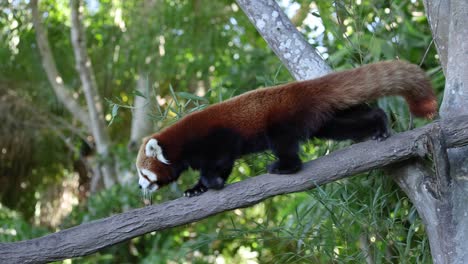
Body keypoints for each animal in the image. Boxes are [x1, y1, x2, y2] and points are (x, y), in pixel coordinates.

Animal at [135, 60, 436, 197]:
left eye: (143, 173)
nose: (140, 186)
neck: (181, 142)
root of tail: (302, 88)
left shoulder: (216, 138)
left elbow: (221, 163)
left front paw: (212, 182)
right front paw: (196, 188)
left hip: (282, 120)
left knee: (285, 145)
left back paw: (284, 166)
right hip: (321, 120)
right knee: (341, 125)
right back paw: (379, 123)